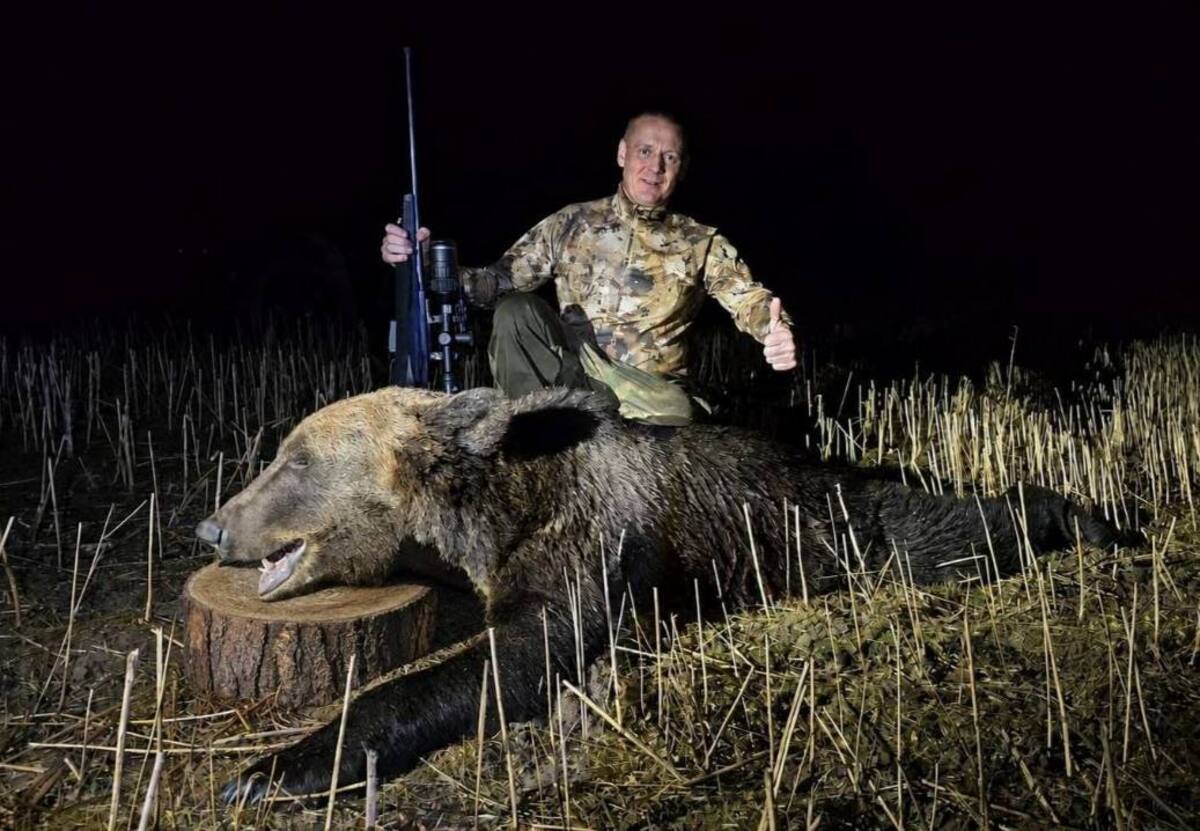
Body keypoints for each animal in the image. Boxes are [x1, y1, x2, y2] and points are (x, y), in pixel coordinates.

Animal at [195, 385, 1125, 804]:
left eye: (296, 458)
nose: (212, 527)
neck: (493, 505)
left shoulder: (586, 549)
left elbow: (514, 659)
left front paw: (275, 766)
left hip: (856, 529)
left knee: (954, 524)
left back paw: (1095, 517)